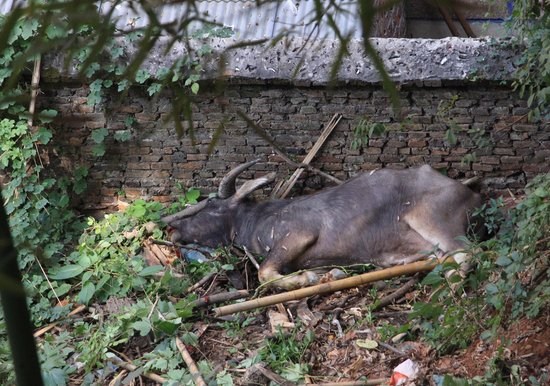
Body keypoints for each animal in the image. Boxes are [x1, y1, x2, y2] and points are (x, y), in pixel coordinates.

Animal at [166, 160, 486, 290]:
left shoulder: (296, 235)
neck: (254, 222)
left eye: (211, 207)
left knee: (469, 252)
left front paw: (308, 280)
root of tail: (473, 195)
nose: (173, 230)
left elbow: (265, 272)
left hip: (432, 220)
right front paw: (328, 274)